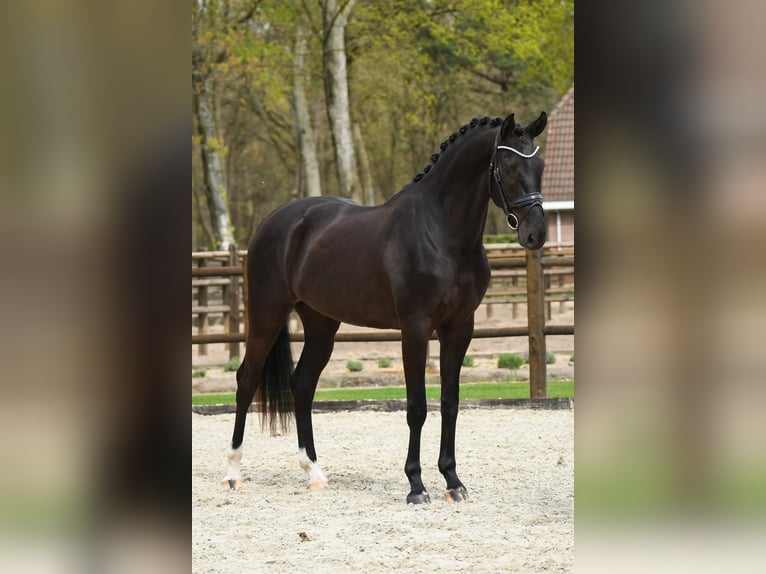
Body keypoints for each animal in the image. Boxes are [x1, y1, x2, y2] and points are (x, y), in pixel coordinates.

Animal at [223, 112, 547, 504]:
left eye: (540, 166)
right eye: (508, 166)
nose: (536, 234)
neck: (439, 234)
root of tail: (273, 222)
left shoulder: (459, 328)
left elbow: (450, 403)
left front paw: (453, 482)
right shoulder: (415, 328)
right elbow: (417, 407)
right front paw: (416, 486)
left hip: (321, 325)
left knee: (302, 383)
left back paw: (314, 472)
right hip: (266, 316)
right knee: (246, 380)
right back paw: (232, 473)